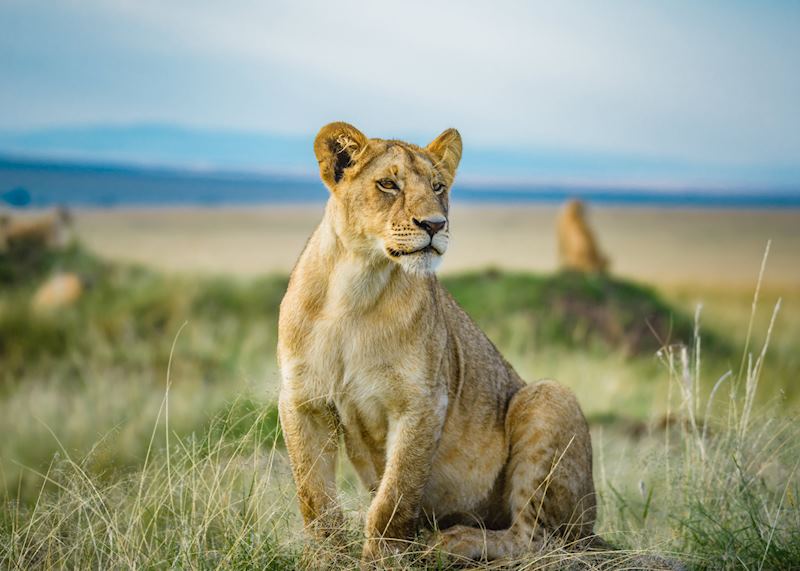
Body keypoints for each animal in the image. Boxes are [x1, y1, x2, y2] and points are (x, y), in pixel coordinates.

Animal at [277, 122, 597, 563]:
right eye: (388, 184)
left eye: (438, 186)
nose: (434, 224)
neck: (355, 289)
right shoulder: (303, 400)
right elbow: (313, 495)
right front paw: (326, 557)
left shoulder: (423, 401)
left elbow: (395, 495)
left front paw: (383, 558)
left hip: (549, 396)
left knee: (535, 539)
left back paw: (453, 541)